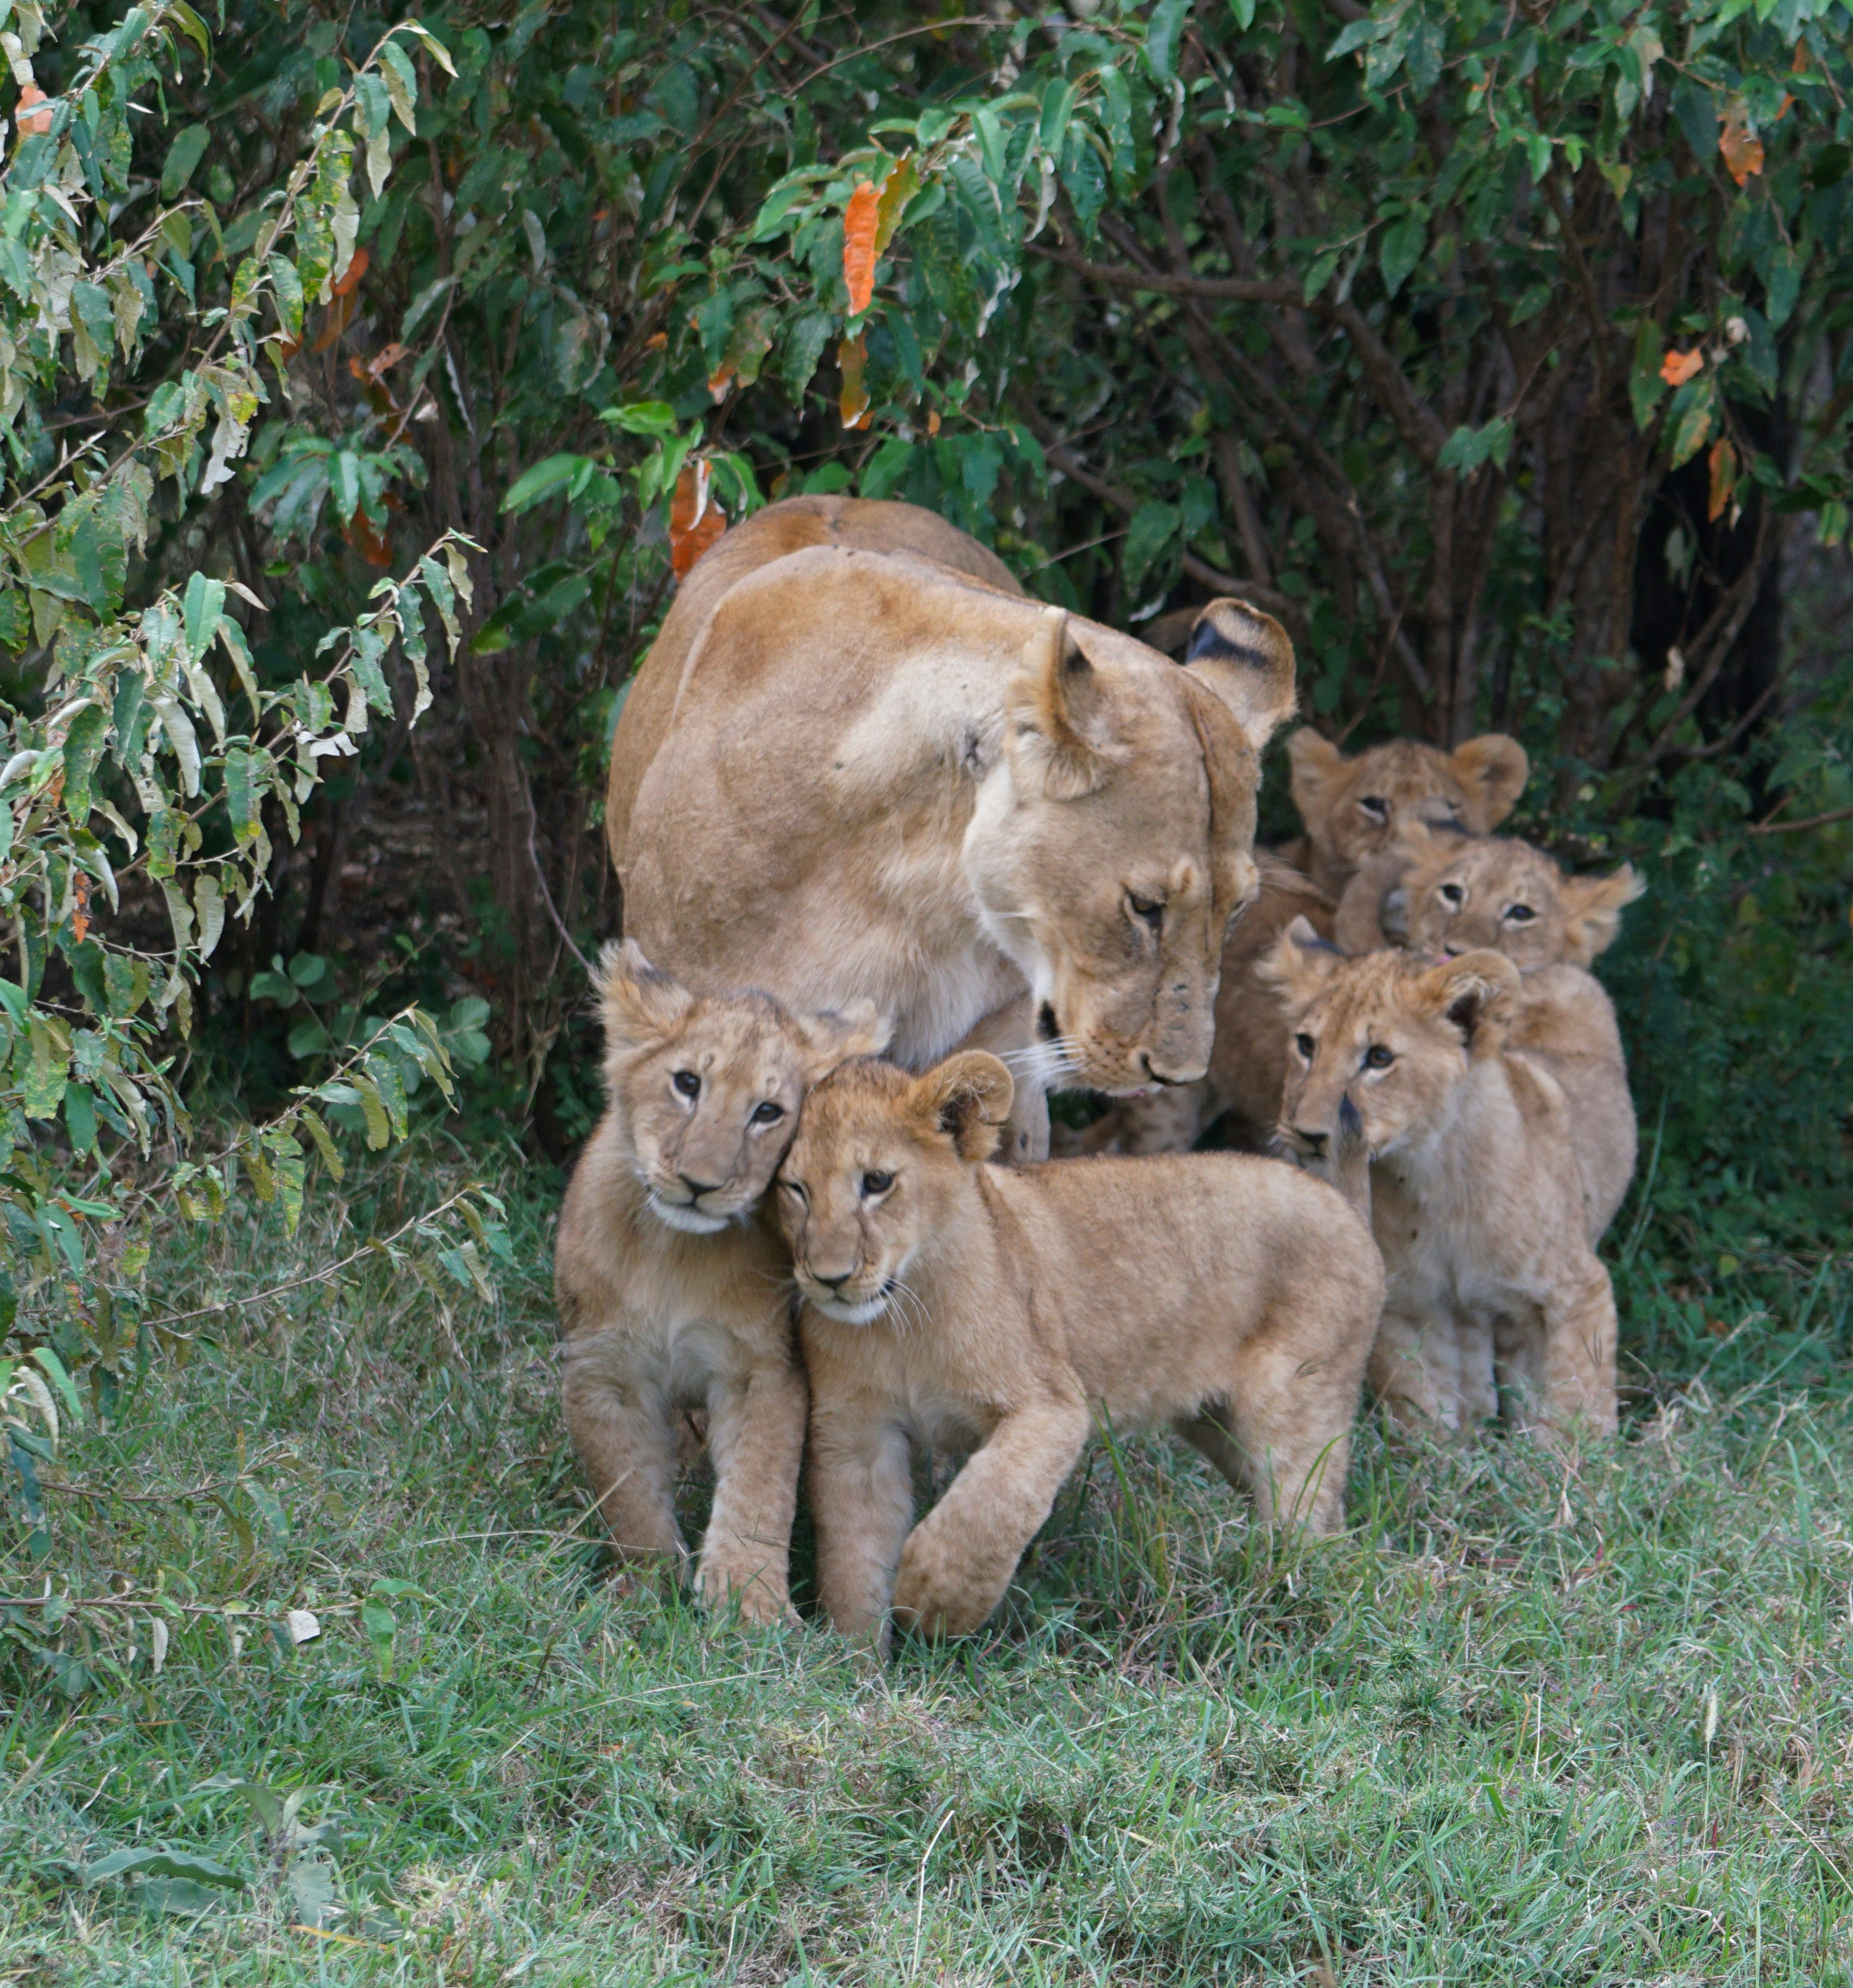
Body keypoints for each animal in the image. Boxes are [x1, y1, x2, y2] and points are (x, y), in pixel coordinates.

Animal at [554, 941, 886, 1624]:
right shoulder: (601, 1368)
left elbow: (760, 1485)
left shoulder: (763, 1369)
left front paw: (749, 1600)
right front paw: (647, 1586)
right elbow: (627, 1487)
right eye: (687, 1083)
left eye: (767, 1112)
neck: (673, 1252)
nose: (699, 1184)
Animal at [775, 1051, 1383, 1647]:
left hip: (1297, 1403)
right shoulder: (856, 1434)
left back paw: (1292, 1591)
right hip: (1220, 1426)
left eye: (877, 1182)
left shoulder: (1050, 1405)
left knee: (1314, 1516)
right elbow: (854, 1557)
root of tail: (1343, 1203)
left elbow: (989, 1504)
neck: (897, 1326)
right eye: (794, 1189)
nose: (829, 1279)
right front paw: (856, 1661)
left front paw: (931, 1603)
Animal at [1264, 926, 1625, 1440]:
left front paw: (1573, 1459)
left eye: (1378, 1057)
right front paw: (1443, 1455)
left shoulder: (1577, 1290)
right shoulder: (1410, 1304)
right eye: (1306, 1046)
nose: (1307, 1133)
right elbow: (1420, 1407)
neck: (1426, 1178)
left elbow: (1575, 1400)